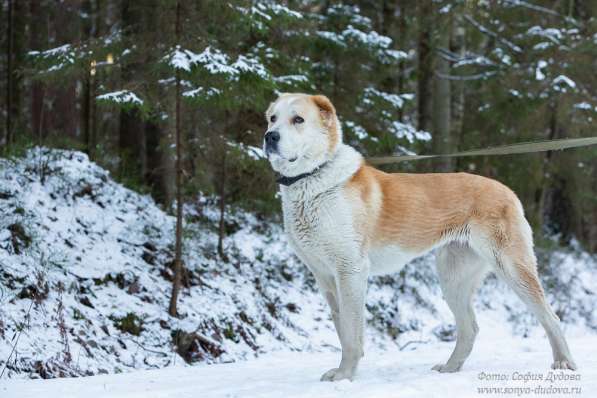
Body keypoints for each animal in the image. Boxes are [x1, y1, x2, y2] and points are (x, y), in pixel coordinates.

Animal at [264, 91, 576, 380]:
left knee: (550, 315)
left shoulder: (350, 271)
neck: (313, 179)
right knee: (470, 327)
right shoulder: (326, 278)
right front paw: (345, 372)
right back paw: (451, 367)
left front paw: (344, 376)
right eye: (272, 118)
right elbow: (343, 329)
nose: (270, 136)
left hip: (512, 268)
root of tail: (507, 191)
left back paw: (563, 362)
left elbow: (352, 333)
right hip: (453, 278)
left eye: (298, 119)